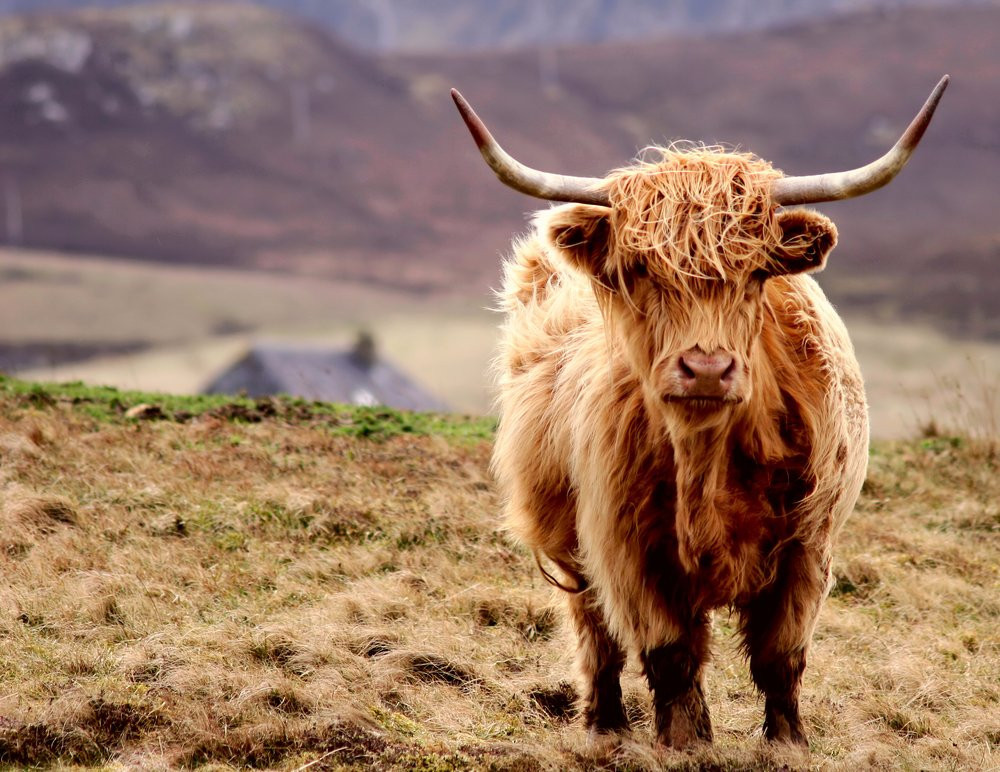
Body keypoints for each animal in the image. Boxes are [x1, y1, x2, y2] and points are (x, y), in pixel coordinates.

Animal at [454, 74, 952, 748]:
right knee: (595, 634)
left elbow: (781, 654)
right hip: (567, 540)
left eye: (756, 272)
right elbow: (670, 652)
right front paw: (687, 741)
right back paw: (604, 724)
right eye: (640, 270)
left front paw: (787, 741)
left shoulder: (810, 544)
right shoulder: (625, 546)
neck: (708, 458)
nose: (708, 368)